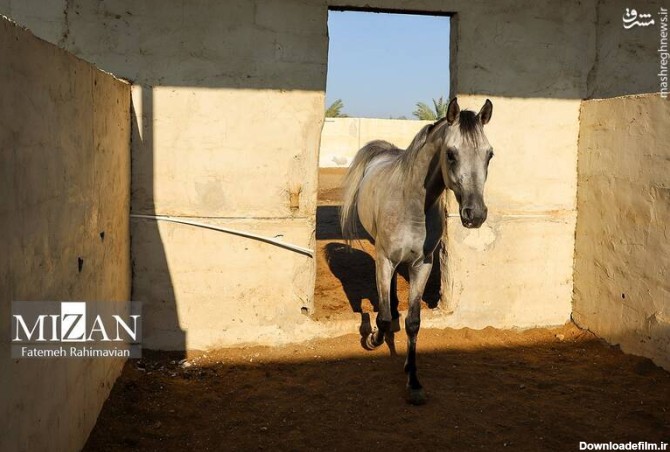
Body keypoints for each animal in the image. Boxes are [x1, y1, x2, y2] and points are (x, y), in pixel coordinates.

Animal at [342, 97, 494, 404]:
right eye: (451, 154)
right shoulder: (384, 259)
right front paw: (373, 338)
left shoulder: (422, 264)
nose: (475, 214)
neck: (410, 203)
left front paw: (413, 381)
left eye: (489, 155)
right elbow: (383, 318)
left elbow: (413, 322)